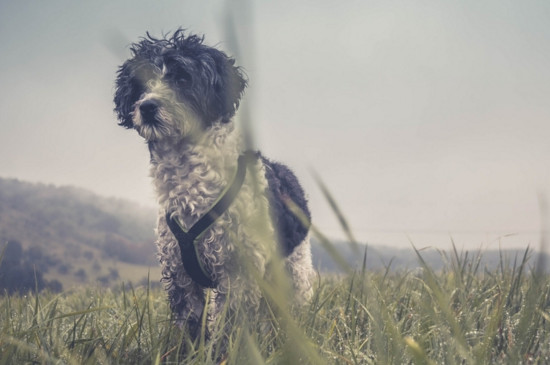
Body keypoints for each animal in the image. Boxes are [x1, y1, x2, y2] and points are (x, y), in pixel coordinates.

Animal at [112, 29, 314, 338]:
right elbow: (190, 329)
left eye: (182, 79)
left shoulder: (239, 274)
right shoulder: (179, 275)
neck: (191, 187)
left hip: (293, 274)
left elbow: (228, 330)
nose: (147, 107)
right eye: (140, 84)